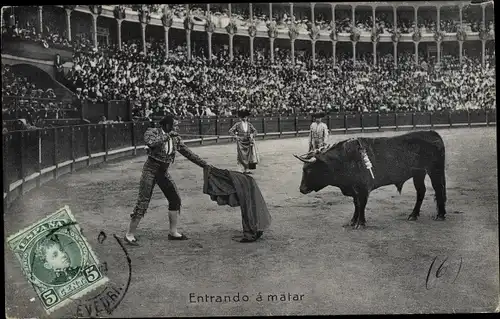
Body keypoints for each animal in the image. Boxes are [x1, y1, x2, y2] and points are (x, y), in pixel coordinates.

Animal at [294, 131, 448, 229]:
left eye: (309, 170)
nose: (301, 189)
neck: (344, 159)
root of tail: (433, 133)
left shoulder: (363, 188)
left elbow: (361, 204)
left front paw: (360, 223)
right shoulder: (354, 189)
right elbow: (356, 204)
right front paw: (353, 221)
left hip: (435, 170)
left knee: (438, 189)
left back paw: (440, 215)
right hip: (419, 173)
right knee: (421, 191)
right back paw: (413, 215)